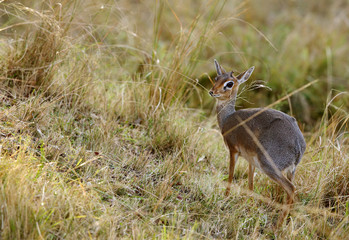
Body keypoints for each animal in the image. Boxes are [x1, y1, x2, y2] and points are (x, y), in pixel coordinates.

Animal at [208, 60, 304, 216]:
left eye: (230, 83)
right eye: (217, 78)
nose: (212, 92)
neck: (227, 118)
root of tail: (299, 145)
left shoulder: (233, 150)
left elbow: (230, 176)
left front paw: (225, 198)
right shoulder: (251, 160)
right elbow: (250, 185)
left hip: (269, 166)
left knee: (291, 188)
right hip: (290, 171)